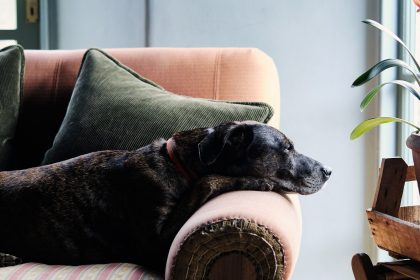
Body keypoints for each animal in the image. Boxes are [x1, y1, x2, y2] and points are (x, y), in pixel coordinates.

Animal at [0, 120, 332, 272]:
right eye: (286, 148)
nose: (328, 170)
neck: (179, 163)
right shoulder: (155, 242)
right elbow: (208, 181)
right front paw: (255, 180)